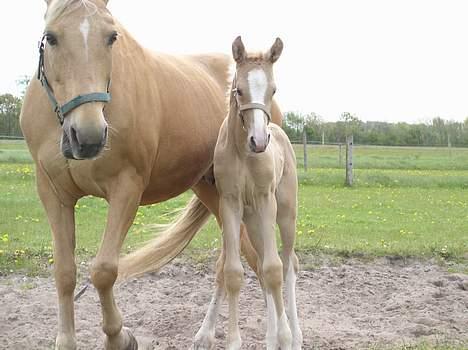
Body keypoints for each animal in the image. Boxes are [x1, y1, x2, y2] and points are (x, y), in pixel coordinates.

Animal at [196, 36, 302, 350]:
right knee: (262, 264)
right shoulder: (230, 204)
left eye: (273, 89)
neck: (244, 154)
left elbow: (274, 270)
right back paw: (272, 337)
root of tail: (278, 131)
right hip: (254, 221)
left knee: (288, 264)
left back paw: (295, 337)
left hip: (286, 214)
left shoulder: (266, 201)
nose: (259, 141)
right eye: (239, 90)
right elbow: (234, 272)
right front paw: (235, 341)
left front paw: (285, 337)